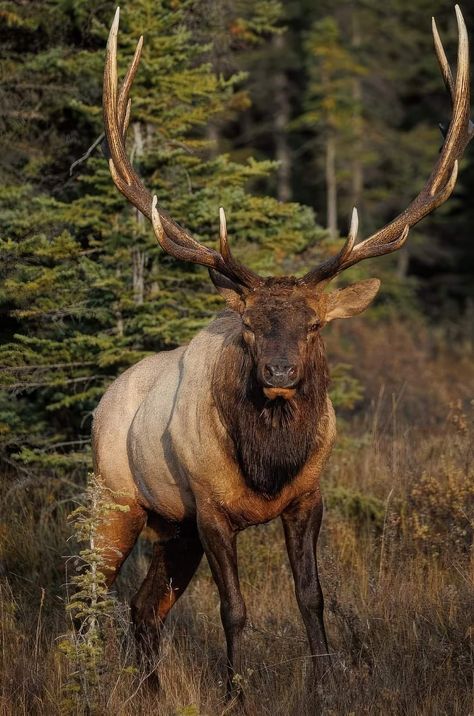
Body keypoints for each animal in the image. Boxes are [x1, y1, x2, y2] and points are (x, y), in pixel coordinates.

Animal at [93, 5, 474, 692]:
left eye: (316, 325)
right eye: (248, 326)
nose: (278, 370)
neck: (267, 468)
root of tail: (102, 401)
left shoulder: (307, 498)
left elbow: (311, 597)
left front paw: (328, 682)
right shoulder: (210, 509)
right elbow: (235, 610)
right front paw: (236, 689)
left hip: (172, 528)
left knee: (142, 607)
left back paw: (151, 688)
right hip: (116, 498)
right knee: (83, 590)